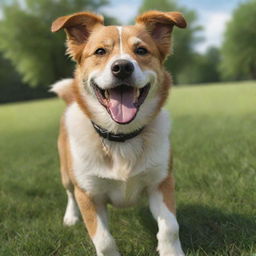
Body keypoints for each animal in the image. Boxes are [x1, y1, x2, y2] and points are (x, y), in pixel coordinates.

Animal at [50, 10, 186, 256]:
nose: (122, 67)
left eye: (141, 50)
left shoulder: (161, 181)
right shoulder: (88, 194)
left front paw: (170, 250)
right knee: (69, 193)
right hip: (66, 171)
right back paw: (70, 217)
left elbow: (171, 227)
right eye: (100, 51)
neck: (122, 137)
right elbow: (104, 241)